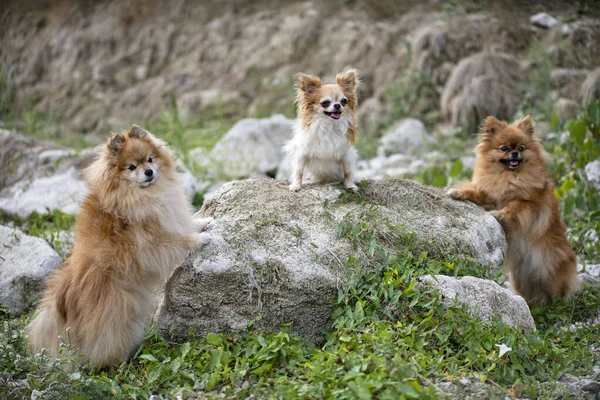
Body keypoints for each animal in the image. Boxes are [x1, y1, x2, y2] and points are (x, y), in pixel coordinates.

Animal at [27, 125, 213, 368]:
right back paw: (120, 363)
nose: (148, 172)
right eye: (131, 167)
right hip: (117, 316)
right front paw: (198, 240)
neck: (135, 195)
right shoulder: (151, 243)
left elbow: (186, 225)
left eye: (150, 159)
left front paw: (203, 222)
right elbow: (178, 240)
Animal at [450, 115, 580, 304]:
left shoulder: (530, 203)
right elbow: (477, 194)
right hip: (520, 279)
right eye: (504, 148)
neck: (509, 177)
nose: (514, 153)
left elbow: (513, 206)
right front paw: (459, 193)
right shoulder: (491, 196)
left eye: (521, 148)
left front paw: (499, 215)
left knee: (559, 291)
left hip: (551, 270)